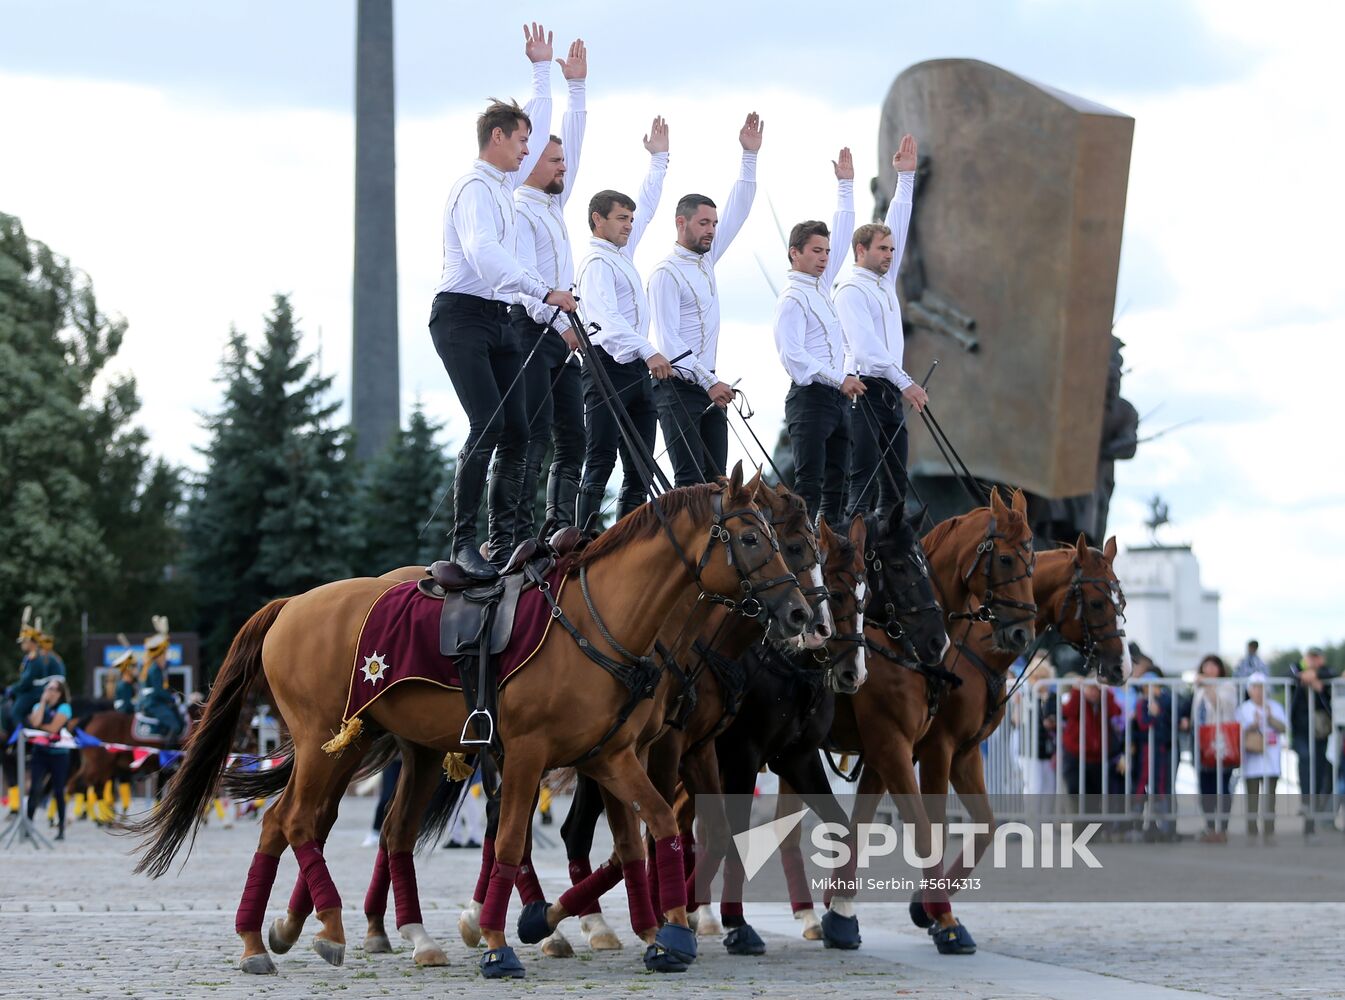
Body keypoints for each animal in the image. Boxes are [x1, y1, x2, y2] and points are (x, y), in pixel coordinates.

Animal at [133, 468, 807, 979]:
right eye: (753, 539)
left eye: (783, 540)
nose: (803, 612)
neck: (601, 622)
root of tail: (292, 604)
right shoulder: (531, 755)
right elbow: (510, 843)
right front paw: (502, 941)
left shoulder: (611, 756)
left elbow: (654, 828)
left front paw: (669, 936)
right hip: (326, 741)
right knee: (299, 821)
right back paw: (330, 926)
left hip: (378, 747)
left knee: (324, 826)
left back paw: (274, 936)